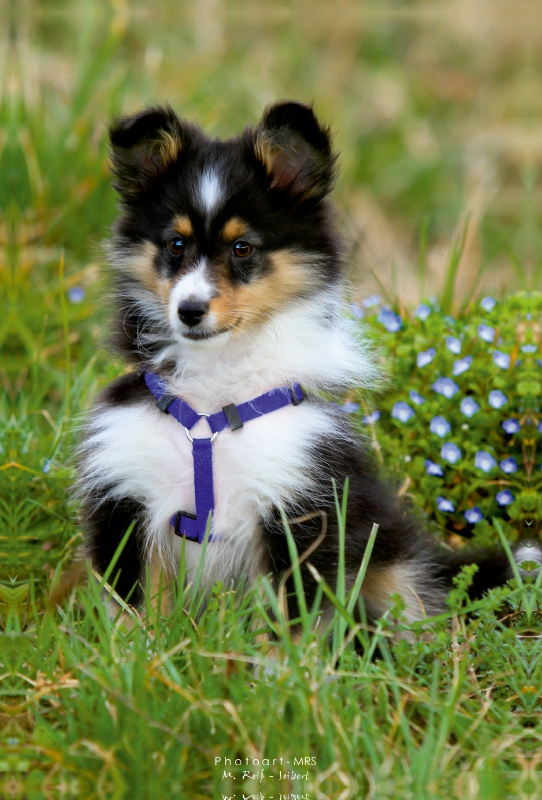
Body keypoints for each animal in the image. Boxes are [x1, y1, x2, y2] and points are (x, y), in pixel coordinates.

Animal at [77, 101, 524, 636]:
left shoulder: (297, 506)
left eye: (242, 248)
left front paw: (274, 660)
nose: (189, 311)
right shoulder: (128, 495)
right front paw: (141, 651)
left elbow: (285, 618)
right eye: (175, 245)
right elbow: (134, 608)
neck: (212, 400)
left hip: (392, 561)